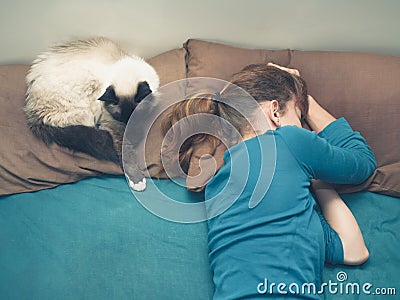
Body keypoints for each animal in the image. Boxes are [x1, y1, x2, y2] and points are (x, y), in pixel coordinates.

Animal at [23, 37, 159, 191]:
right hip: (87, 105)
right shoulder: (113, 125)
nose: (128, 126)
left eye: (132, 117)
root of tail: (32, 112)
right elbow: (126, 152)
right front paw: (137, 182)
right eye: (119, 117)